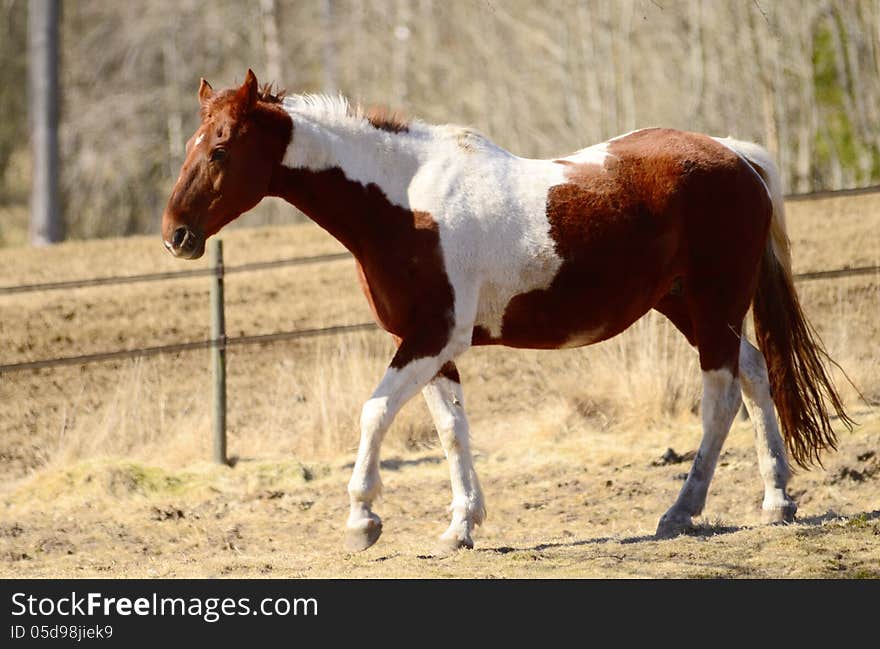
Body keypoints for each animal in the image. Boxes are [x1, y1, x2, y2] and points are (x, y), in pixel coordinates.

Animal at [160, 71, 852, 556]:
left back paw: (681, 512)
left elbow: (375, 412)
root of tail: (737, 157)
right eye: (192, 143)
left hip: (713, 306)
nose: (177, 236)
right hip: (692, 307)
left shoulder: (430, 338)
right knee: (756, 374)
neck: (403, 202)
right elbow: (451, 430)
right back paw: (776, 500)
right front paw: (460, 526)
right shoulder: (430, 346)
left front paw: (362, 519)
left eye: (219, 148)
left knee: (721, 394)